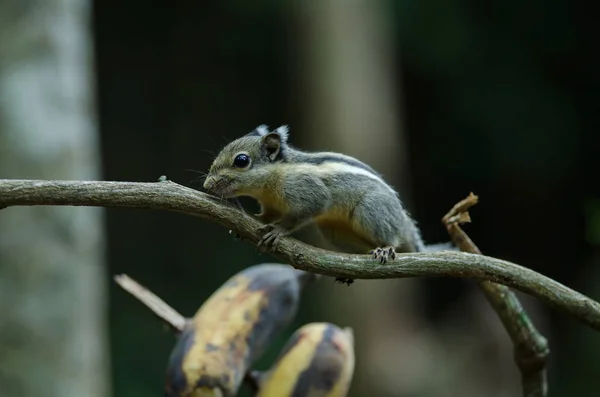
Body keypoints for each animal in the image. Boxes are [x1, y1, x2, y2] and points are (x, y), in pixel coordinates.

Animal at [204, 124, 452, 282]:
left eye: (241, 160)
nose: (207, 185)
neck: (275, 178)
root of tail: (404, 221)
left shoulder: (310, 194)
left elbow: (301, 214)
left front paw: (279, 230)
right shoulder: (271, 205)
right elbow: (266, 215)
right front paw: (249, 223)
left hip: (371, 211)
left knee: (393, 238)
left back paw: (385, 247)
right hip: (334, 232)